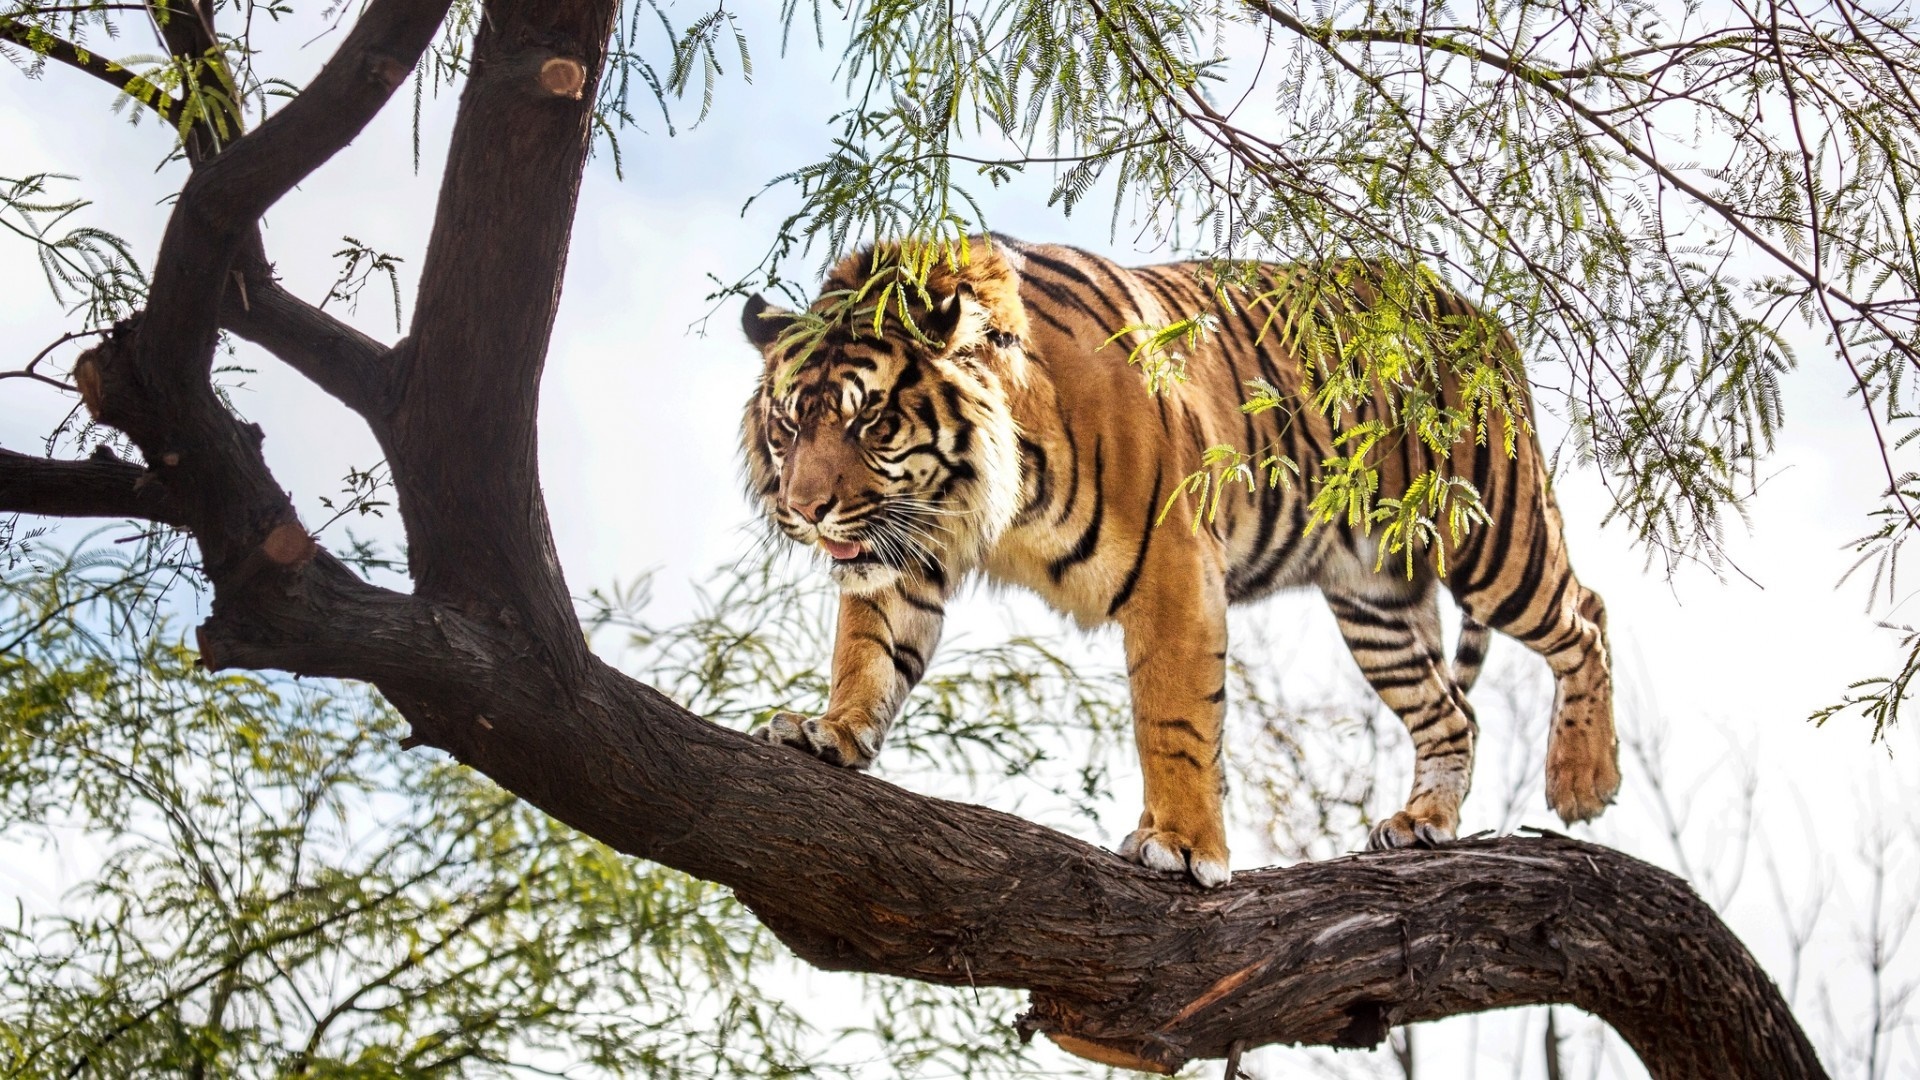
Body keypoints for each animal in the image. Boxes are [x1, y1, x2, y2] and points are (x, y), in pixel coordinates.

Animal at [737, 235, 1617, 888]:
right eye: (788, 425)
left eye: (872, 421)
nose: (804, 509)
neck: (983, 496)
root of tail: (1479, 314)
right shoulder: (905, 547)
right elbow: (868, 651)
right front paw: (829, 732)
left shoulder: (1174, 570)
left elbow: (1176, 720)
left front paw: (1187, 848)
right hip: (1375, 602)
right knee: (1452, 712)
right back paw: (1424, 823)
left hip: (1492, 537)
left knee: (1586, 616)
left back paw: (1582, 780)